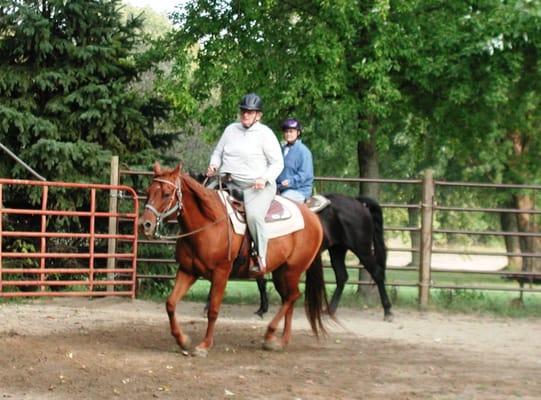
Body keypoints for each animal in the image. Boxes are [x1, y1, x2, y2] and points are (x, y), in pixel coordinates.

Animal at [139, 162, 324, 356]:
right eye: (148, 191)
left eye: (167, 194)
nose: (145, 224)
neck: (209, 224)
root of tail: (312, 216)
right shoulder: (187, 271)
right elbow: (171, 303)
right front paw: (183, 340)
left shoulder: (221, 273)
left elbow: (213, 310)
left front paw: (204, 345)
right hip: (280, 272)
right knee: (289, 298)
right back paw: (281, 341)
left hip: (292, 270)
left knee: (292, 296)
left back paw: (270, 334)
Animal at [254, 194, 392, 322]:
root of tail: (357, 202)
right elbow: (263, 281)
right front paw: (263, 310)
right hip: (337, 250)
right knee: (342, 277)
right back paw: (330, 310)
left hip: (362, 250)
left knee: (377, 273)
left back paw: (388, 311)